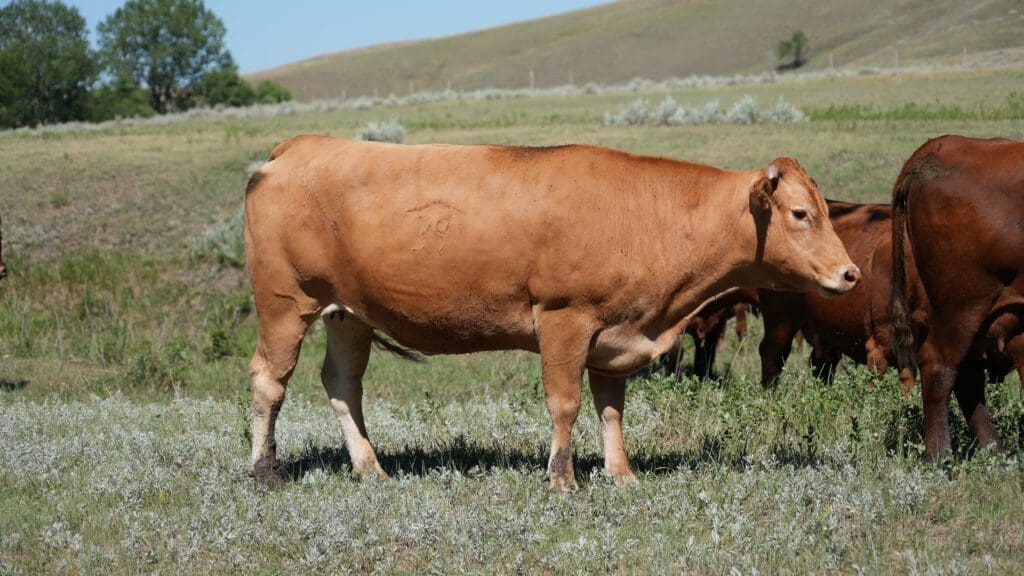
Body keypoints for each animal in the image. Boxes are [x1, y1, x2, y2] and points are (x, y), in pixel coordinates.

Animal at [244, 136, 859, 490]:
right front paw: (562, 479)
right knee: (269, 380)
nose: (851, 274)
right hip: (284, 302)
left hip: (347, 313)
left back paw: (370, 468)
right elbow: (565, 405)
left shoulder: (617, 336)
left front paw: (621, 475)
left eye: (826, 210)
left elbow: (611, 409)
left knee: (342, 383)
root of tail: (299, 146)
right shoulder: (566, 319)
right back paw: (264, 470)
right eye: (800, 214)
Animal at [892, 135, 1024, 461]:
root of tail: (942, 145)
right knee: (941, 368)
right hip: (964, 306)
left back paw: (994, 451)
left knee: (966, 375)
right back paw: (939, 456)